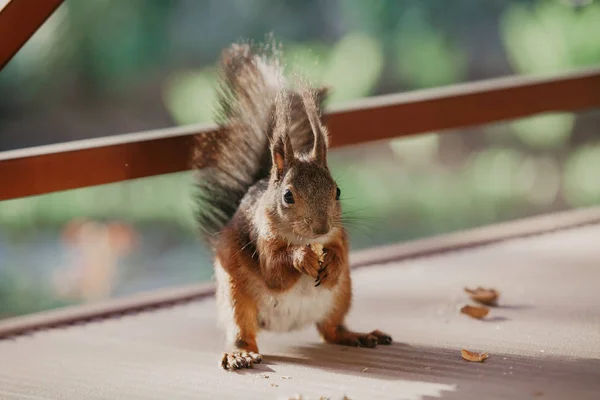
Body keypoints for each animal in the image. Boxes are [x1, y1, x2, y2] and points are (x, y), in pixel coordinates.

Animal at [191, 40, 390, 372]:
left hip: (341, 295)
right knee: (243, 332)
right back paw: (240, 354)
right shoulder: (263, 240)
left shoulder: (338, 235)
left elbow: (340, 251)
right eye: (287, 196)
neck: (303, 238)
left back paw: (358, 335)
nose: (321, 227)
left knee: (331, 330)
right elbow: (275, 271)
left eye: (337, 191)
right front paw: (301, 258)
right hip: (235, 297)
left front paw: (333, 261)